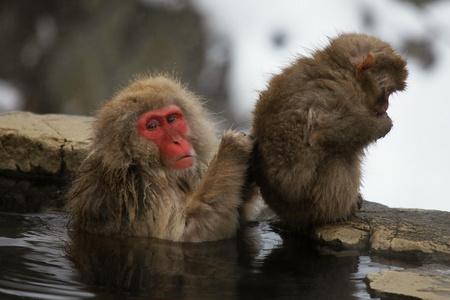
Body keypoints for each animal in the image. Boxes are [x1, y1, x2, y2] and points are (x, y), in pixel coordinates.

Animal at [66, 75, 256, 241]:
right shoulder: (141, 196)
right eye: (153, 126)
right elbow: (188, 234)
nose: (177, 141)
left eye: (172, 119)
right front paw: (231, 149)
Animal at [251, 32, 410, 230]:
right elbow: (319, 132)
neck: (343, 71)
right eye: (387, 92)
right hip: (315, 204)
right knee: (339, 157)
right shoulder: (338, 94)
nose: (386, 106)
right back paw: (344, 210)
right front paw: (383, 125)